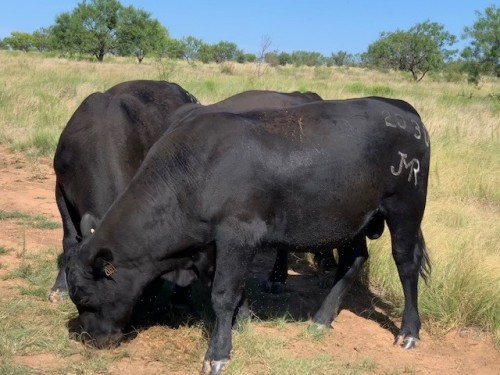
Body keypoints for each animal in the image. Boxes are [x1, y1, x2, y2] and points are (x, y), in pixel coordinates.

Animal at [63, 97, 430, 375]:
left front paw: (218, 353)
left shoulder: (237, 235)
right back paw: (322, 318)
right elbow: (228, 289)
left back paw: (409, 332)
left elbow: (223, 294)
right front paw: (244, 322)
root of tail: (400, 108)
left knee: (406, 263)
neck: (196, 171)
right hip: (352, 217)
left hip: (405, 208)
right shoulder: (212, 246)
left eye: (84, 297)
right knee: (354, 259)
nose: (92, 339)